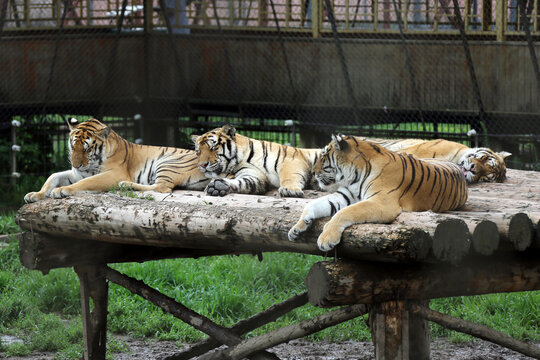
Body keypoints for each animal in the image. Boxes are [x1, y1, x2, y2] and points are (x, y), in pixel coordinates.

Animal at [24, 118, 209, 202]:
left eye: (87, 149)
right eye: (72, 146)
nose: (76, 165)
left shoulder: (113, 174)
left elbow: (85, 183)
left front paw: (62, 190)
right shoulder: (77, 174)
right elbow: (52, 177)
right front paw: (35, 194)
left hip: (167, 163)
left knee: (162, 188)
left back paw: (125, 185)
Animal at [191, 124, 320, 197]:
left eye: (213, 147)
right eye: (198, 152)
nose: (202, 165)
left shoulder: (291, 160)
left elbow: (289, 176)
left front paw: (290, 190)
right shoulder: (254, 176)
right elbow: (244, 182)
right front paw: (217, 186)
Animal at [286, 134, 468, 252]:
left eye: (323, 156)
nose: (312, 172)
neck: (353, 175)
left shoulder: (381, 203)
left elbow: (344, 213)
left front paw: (326, 239)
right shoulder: (345, 195)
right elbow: (314, 204)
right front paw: (297, 227)